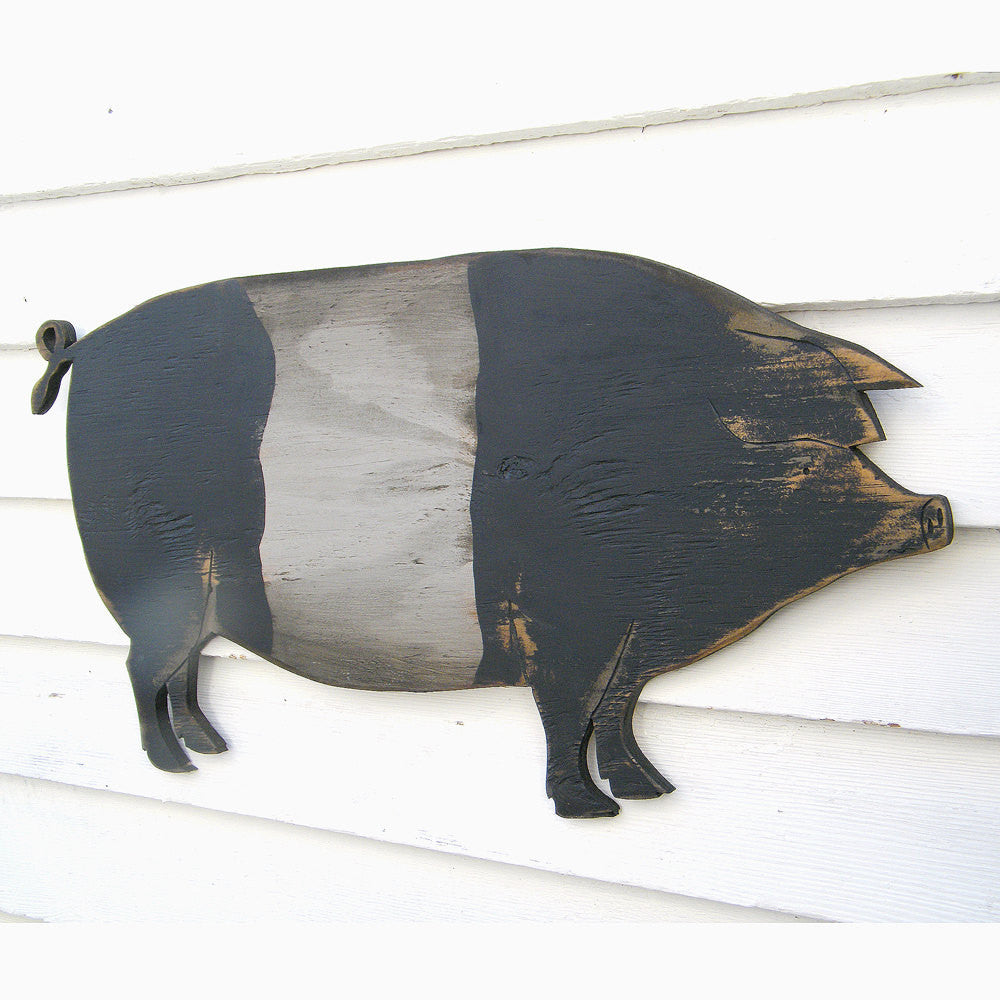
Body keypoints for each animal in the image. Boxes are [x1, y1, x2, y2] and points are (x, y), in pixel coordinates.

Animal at [31, 249, 953, 818]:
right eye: (807, 448)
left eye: (862, 440)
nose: (938, 512)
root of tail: (81, 349)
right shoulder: (568, 625)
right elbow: (567, 717)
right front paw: (590, 810)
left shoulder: (631, 638)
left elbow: (616, 716)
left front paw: (649, 793)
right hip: (154, 582)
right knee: (139, 670)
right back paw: (178, 766)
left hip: (197, 602)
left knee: (181, 673)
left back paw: (210, 749)